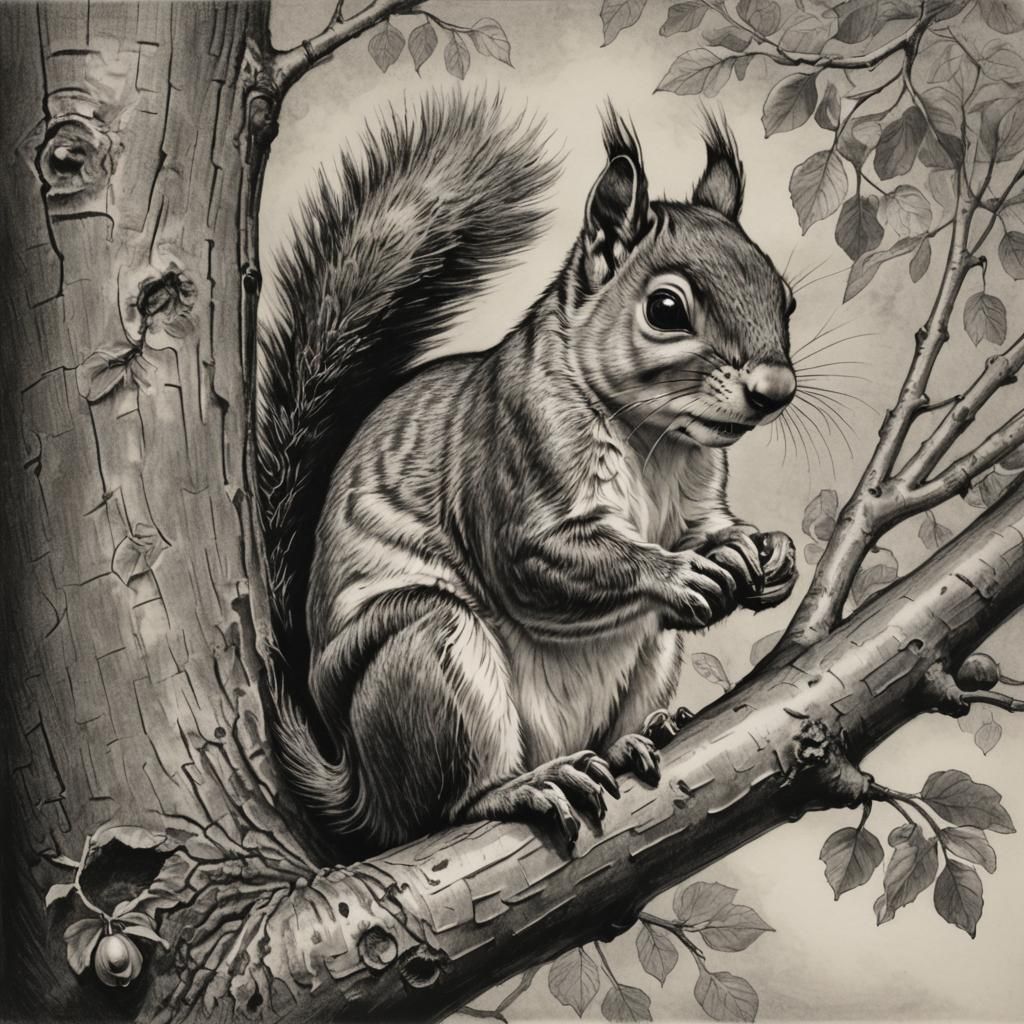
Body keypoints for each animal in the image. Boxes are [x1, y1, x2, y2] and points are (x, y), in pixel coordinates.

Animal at [257, 92, 799, 859]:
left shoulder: (697, 499)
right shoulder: (513, 457)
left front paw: (769, 554)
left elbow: (711, 529)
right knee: (442, 807)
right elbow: (538, 561)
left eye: (786, 299)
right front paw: (678, 575)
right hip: (429, 657)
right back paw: (524, 786)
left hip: (647, 656)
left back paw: (639, 736)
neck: (654, 441)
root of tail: (359, 793)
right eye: (665, 309)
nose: (776, 390)